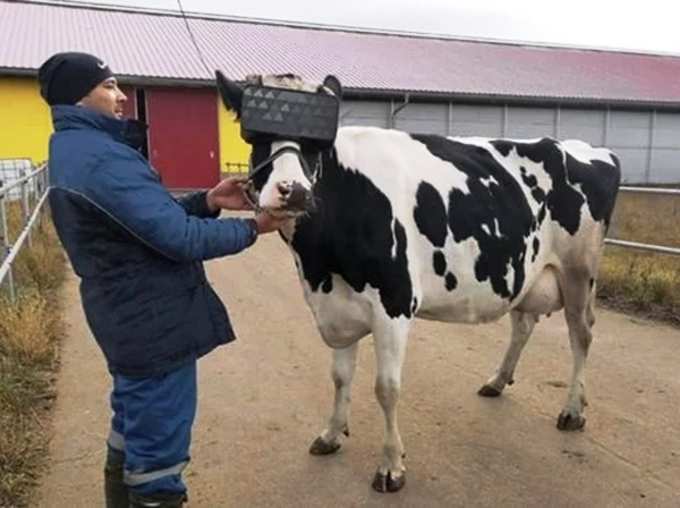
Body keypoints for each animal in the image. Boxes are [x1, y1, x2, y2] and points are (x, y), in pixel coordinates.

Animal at [216, 71, 620, 492]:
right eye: (255, 137)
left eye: (318, 144)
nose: (293, 191)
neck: (320, 265)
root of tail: (584, 148)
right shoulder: (336, 306)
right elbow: (340, 377)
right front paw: (331, 434)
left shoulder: (394, 303)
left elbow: (386, 388)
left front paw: (391, 466)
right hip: (526, 270)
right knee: (523, 323)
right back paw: (497, 380)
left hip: (579, 271)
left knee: (581, 334)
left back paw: (572, 410)